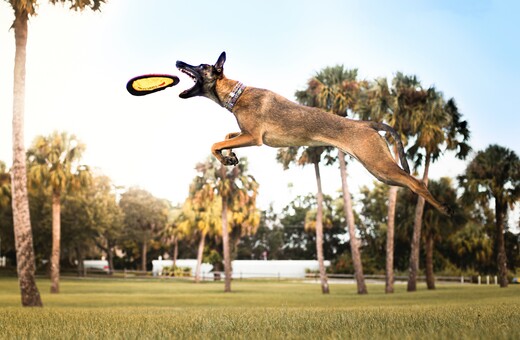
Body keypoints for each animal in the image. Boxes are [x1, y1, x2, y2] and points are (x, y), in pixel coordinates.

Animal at [175, 51, 450, 215]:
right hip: (380, 171)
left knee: (417, 182)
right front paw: (230, 157)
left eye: (201, 65)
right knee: (410, 182)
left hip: (380, 164)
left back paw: (442, 208)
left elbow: (214, 143)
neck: (237, 94)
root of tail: (367, 124)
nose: (178, 62)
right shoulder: (245, 134)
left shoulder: (253, 138)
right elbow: (225, 138)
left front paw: (225, 156)